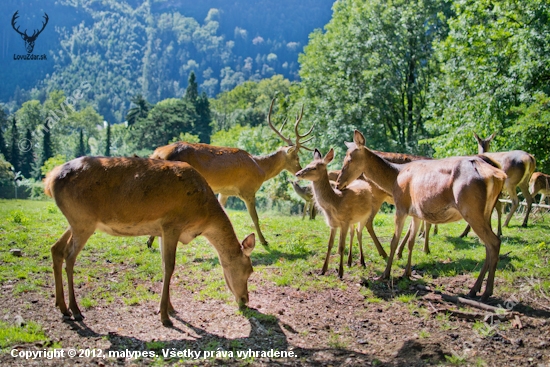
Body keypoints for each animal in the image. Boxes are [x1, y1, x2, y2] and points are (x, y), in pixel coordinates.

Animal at [44, 157, 256, 326]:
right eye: (249, 270)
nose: (245, 299)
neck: (202, 217)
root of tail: (50, 179)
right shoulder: (172, 225)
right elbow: (170, 266)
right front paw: (165, 317)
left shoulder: (162, 231)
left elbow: (164, 265)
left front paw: (170, 308)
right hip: (83, 221)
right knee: (69, 256)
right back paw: (76, 310)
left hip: (77, 221)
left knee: (56, 249)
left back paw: (62, 307)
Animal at [150, 98, 314, 247]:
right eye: (297, 157)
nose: (299, 171)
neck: (260, 169)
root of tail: (158, 153)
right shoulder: (248, 190)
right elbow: (255, 217)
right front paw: (264, 241)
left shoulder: (225, 192)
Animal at [298, 148, 392, 278]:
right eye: (308, 164)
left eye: (314, 167)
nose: (297, 173)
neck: (336, 202)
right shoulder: (333, 224)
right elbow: (330, 244)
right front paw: (323, 270)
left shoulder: (345, 221)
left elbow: (342, 246)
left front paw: (340, 273)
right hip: (353, 220)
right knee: (353, 233)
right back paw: (350, 261)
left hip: (365, 216)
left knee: (359, 233)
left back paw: (362, 262)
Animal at [336, 131, 508, 300]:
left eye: (349, 159)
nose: (338, 183)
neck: (394, 178)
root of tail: (498, 175)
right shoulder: (416, 213)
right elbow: (411, 241)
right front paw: (407, 273)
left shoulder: (401, 207)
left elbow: (394, 241)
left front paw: (385, 274)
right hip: (486, 210)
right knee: (488, 245)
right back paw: (475, 289)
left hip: (471, 209)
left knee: (494, 242)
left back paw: (486, 292)